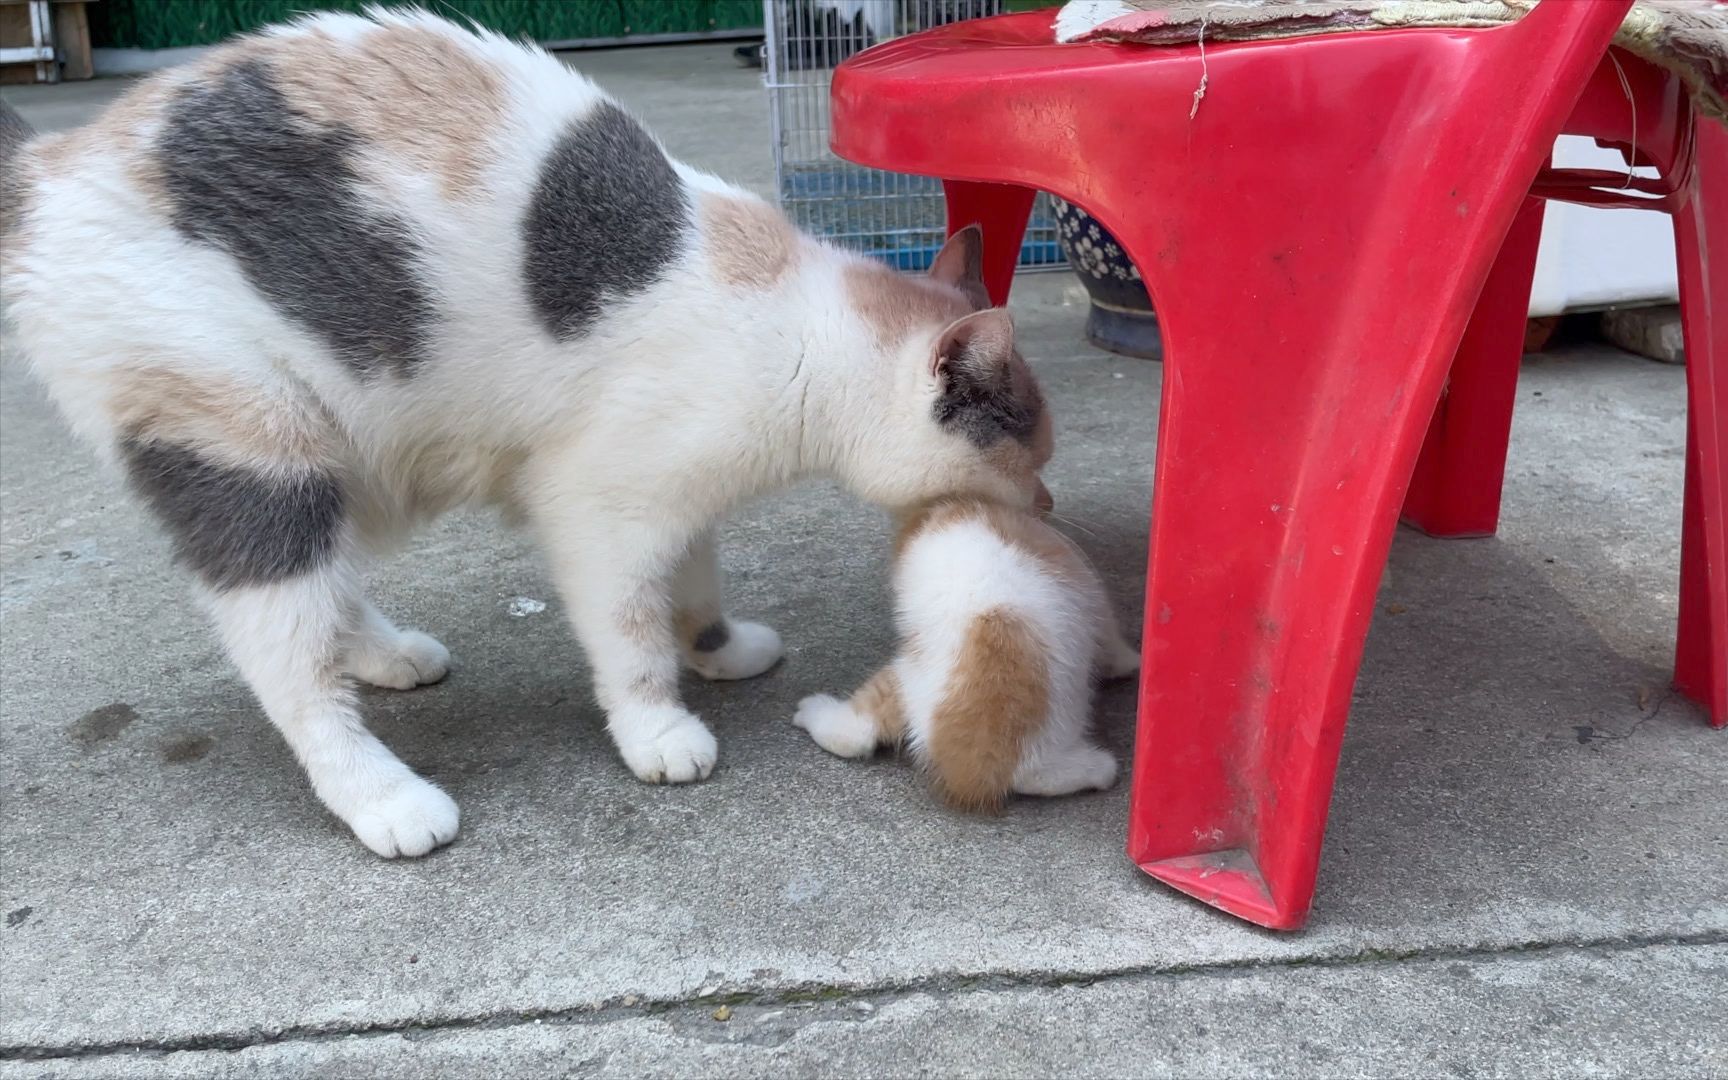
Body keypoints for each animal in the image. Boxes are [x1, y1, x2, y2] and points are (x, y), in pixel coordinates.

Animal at [0, 6, 1050, 850]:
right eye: (1032, 453)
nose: (1047, 501)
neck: (798, 328)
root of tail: (52, 166)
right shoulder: (599, 507)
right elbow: (629, 633)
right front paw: (657, 729)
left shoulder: (677, 489)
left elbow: (695, 581)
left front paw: (715, 651)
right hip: (255, 448)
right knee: (288, 660)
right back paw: (381, 795)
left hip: (339, 460)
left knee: (332, 590)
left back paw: (385, 653)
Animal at [791, 497, 1140, 808]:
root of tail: (972, 769)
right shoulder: (1092, 595)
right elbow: (1111, 642)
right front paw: (1130, 662)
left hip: (906, 677)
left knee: (857, 733)